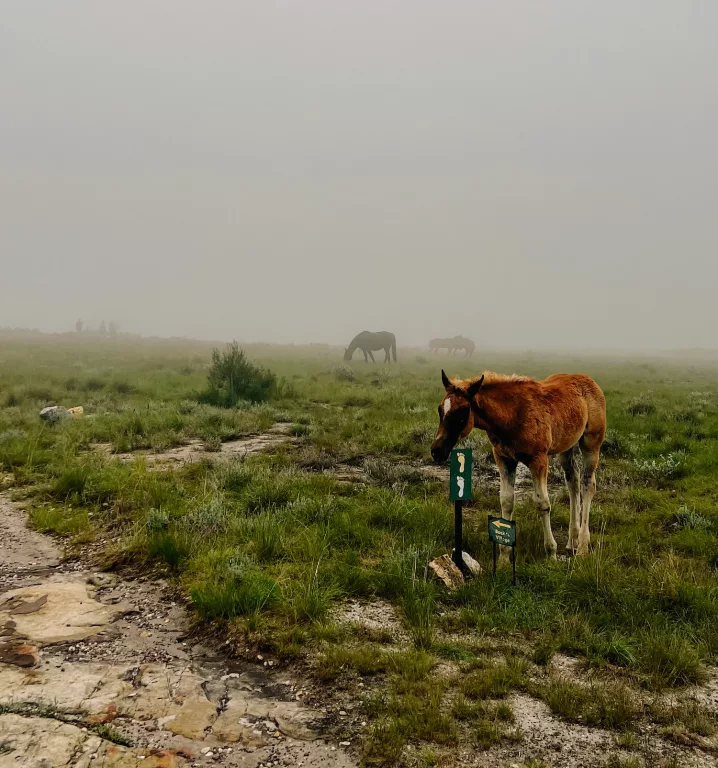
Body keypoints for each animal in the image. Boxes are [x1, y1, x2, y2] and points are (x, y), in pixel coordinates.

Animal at [434, 370, 608, 560]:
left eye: (462, 412)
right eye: (440, 409)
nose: (436, 451)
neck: (512, 415)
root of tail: (589, 381)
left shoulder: (538, 459)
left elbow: (542, 503)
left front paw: (551, 553)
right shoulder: (504, 458)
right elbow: (506, 501)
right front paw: (503, 556)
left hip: (591, 444)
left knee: (588, 484)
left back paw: (583, 547)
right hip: (566, 448)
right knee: (573, 482)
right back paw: (572, 542)